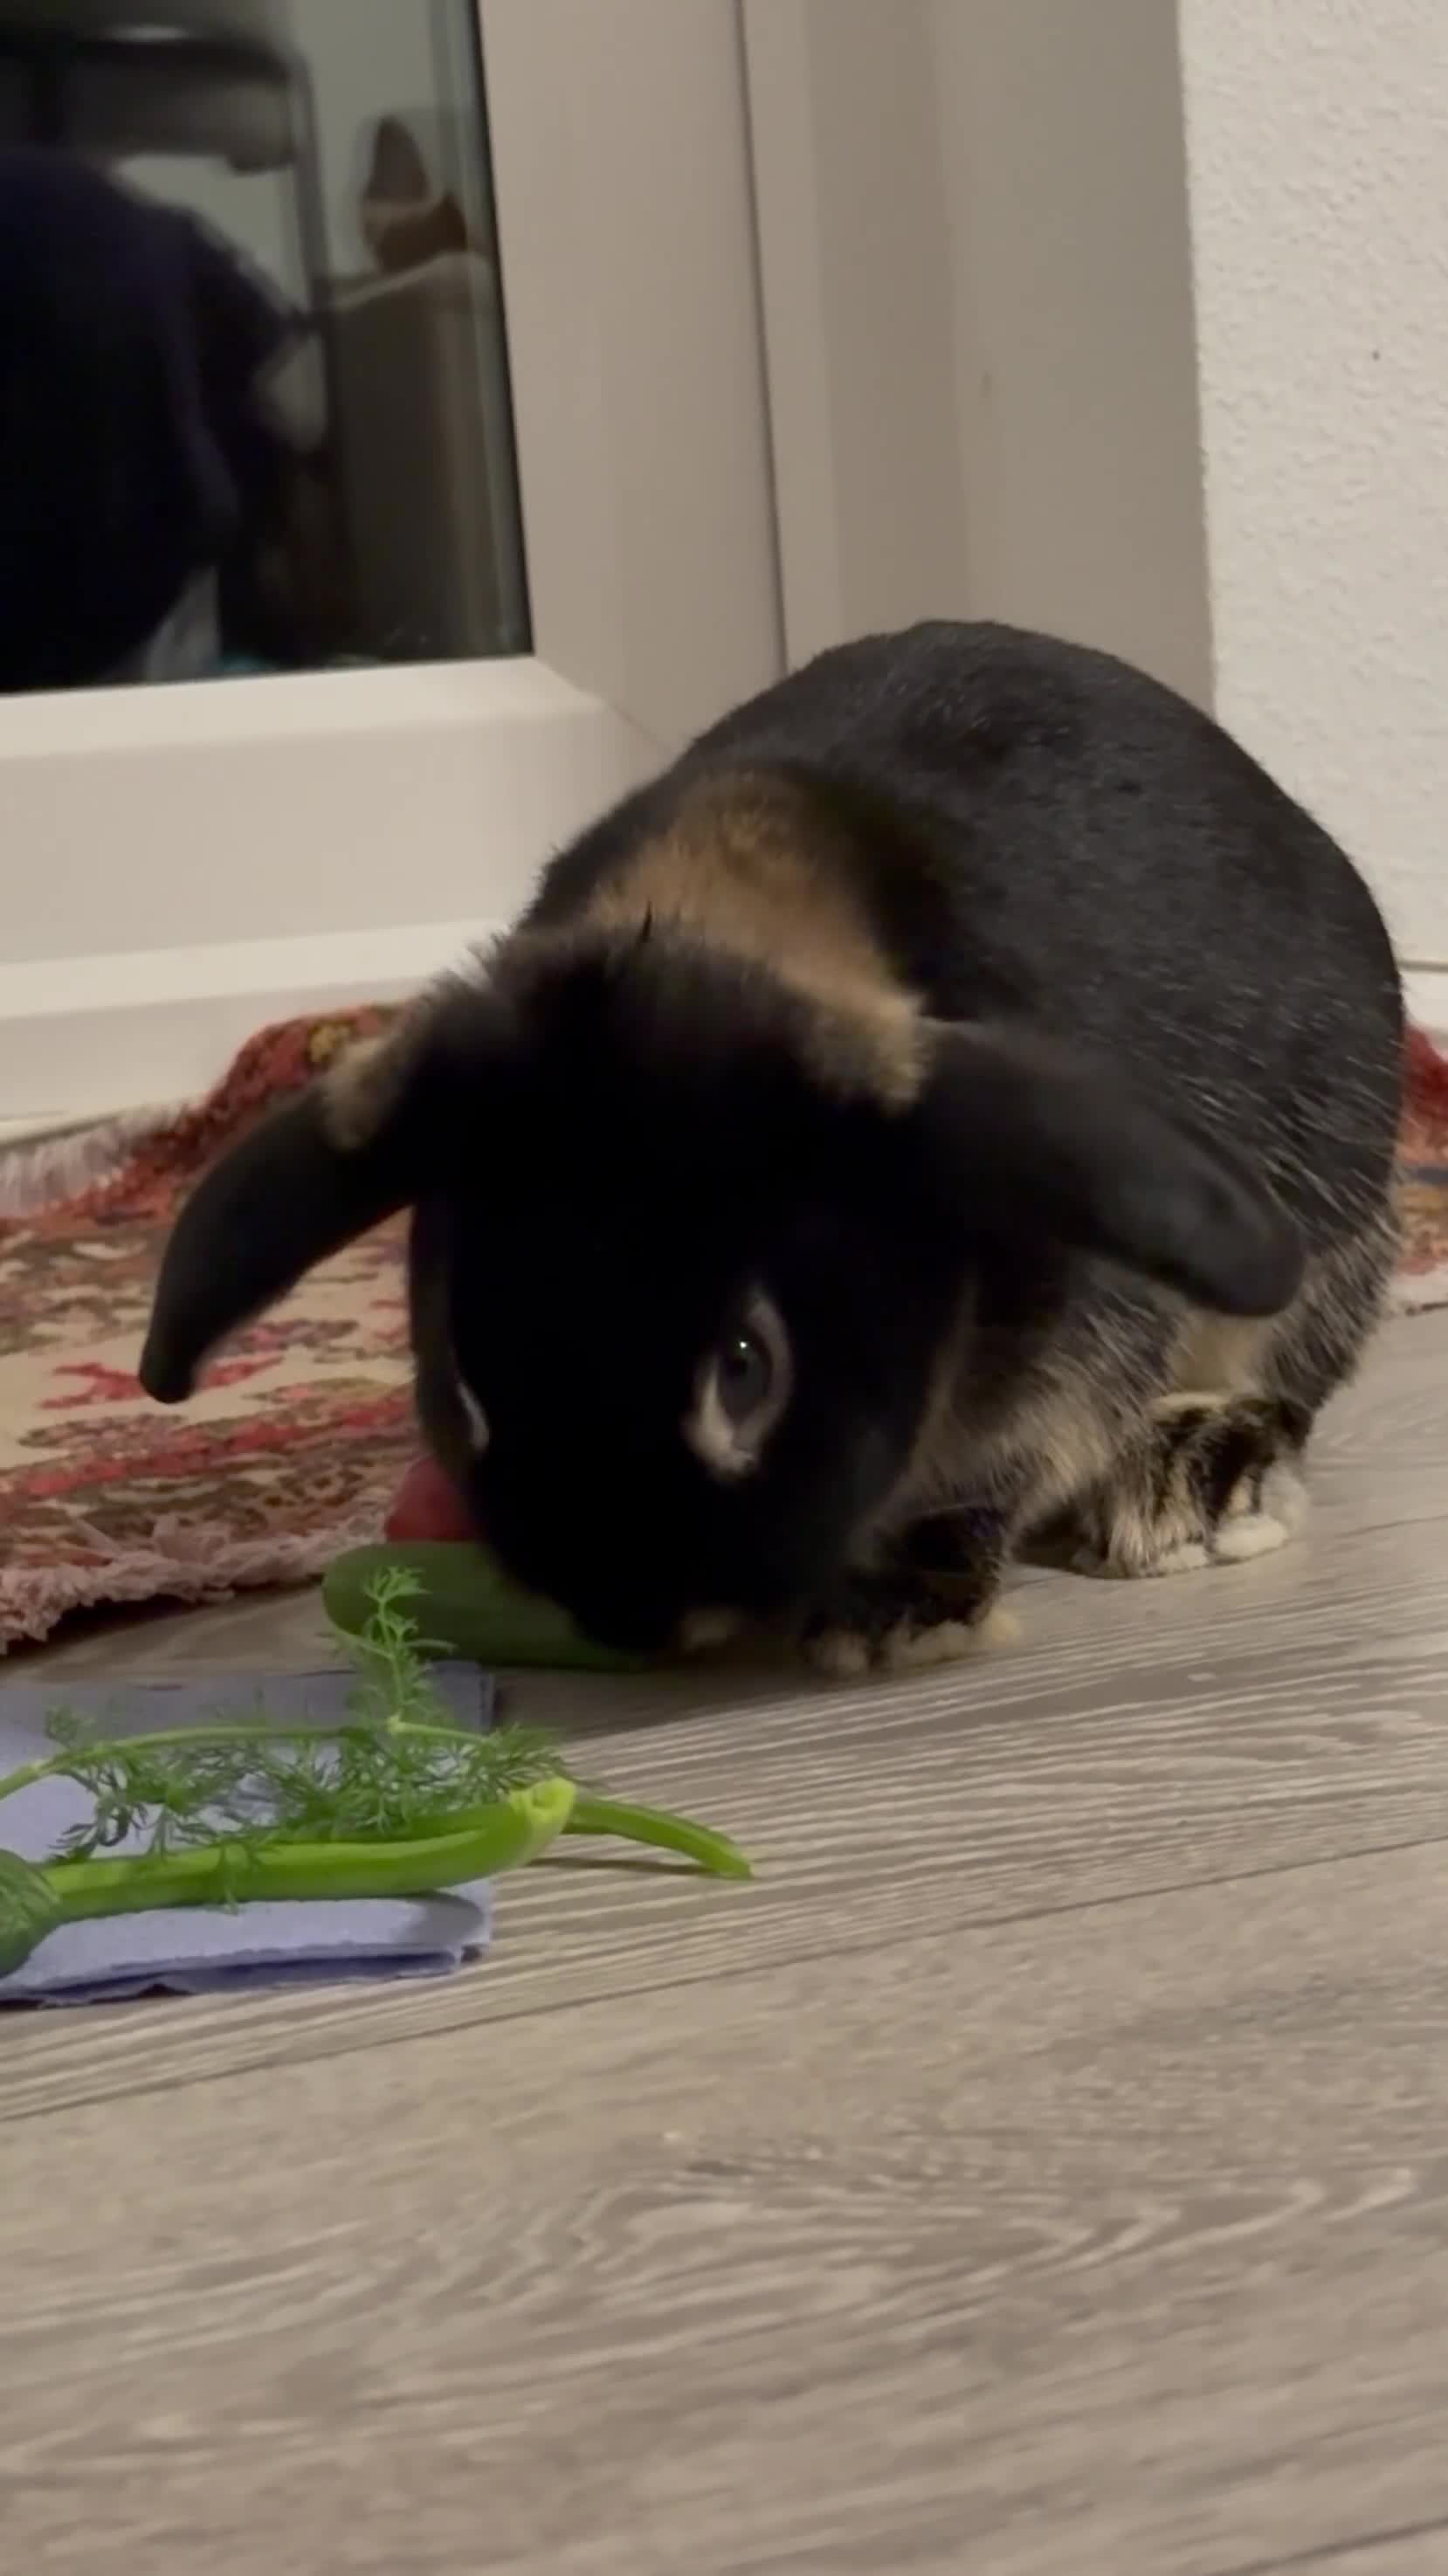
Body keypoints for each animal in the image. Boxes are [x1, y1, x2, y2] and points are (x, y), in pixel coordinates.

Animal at [140, 621, 1404, 1675]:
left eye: (747, 1367)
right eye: (457, 1369)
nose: (630, 1616)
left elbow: (1014, 1451)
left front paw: (890, 1613)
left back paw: (1190, 1481)